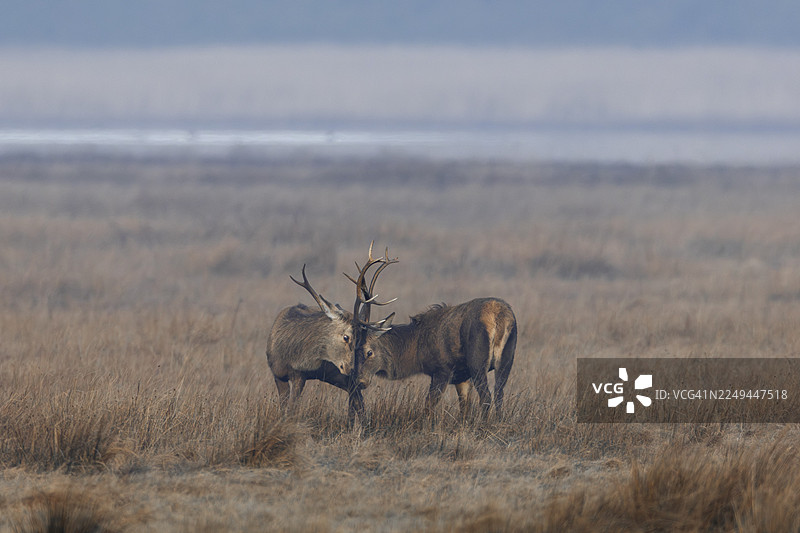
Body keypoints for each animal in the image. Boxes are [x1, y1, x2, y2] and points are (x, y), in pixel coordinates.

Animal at [266, 244, 396, 422]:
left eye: (360, 342)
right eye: (346, 337)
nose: (352, 369)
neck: (288, 354)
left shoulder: (300, 375)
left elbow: (292, 409)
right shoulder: (277, 374)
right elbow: (285, 408)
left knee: (358, 402)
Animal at [354, 271, 516, 419]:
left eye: (369, 352)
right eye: (355, 350)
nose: (359, 381)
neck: (416, 349)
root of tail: (500, 318)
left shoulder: (442, 370)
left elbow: (428, 406)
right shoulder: (462, 377)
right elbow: (464, 408)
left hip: (477, 361)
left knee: (486, 397)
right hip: (507, 359)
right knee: (499, 395)